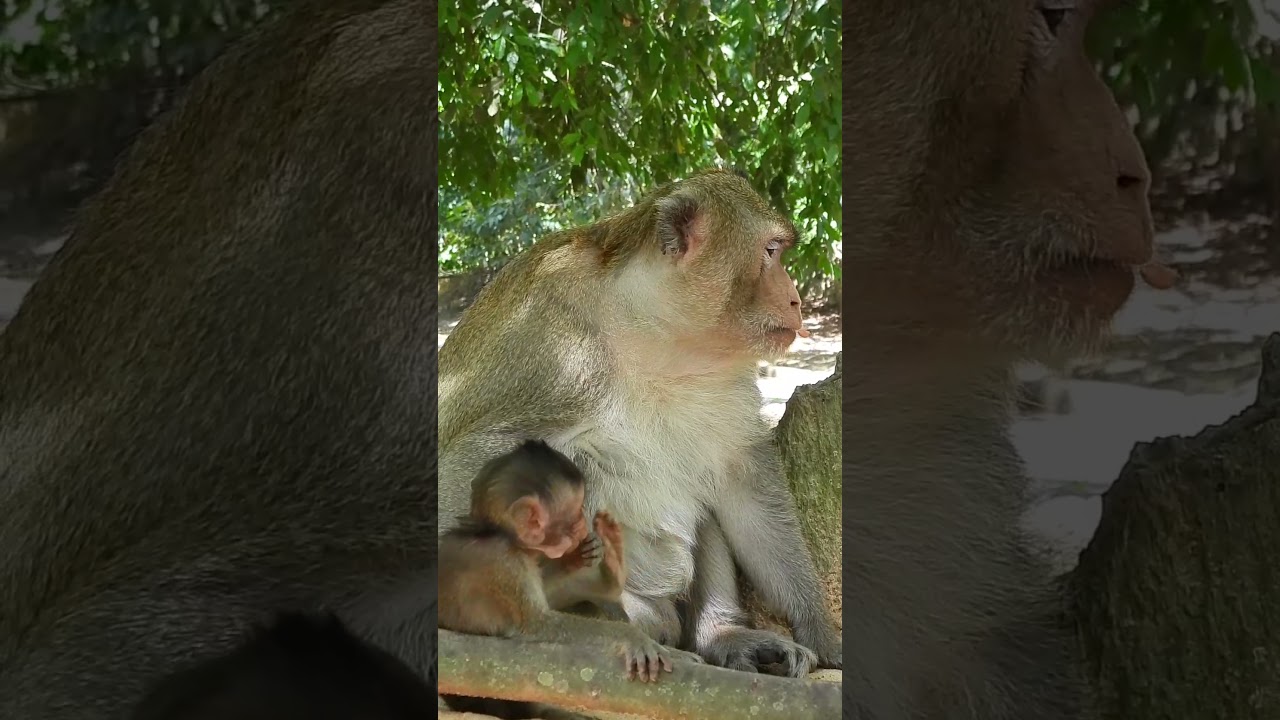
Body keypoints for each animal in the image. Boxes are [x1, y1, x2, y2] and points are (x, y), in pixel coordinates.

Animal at [438, 168, 842, 679]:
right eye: (770, 252)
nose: (795, 299)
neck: (656, 333)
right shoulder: (552, 344)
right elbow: (475, 452)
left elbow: (743, 480)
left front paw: (820, 633)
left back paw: (721, 636)